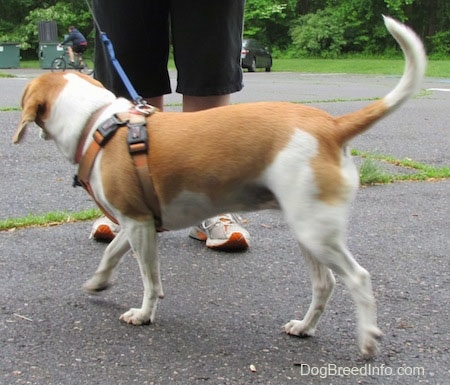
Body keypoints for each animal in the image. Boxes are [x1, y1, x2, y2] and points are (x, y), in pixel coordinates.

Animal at [11, 15, 426, 356]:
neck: (98, 121)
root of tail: (330, 125)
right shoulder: (135, 221)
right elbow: (112, 252)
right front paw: (98, 283)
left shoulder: (139, 225)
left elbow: (149, 278)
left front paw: (144, 314)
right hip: (308, 231)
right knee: (324, 284)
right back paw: (304, 327)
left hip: (316, 232)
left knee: (358, 278)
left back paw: (367, 338)